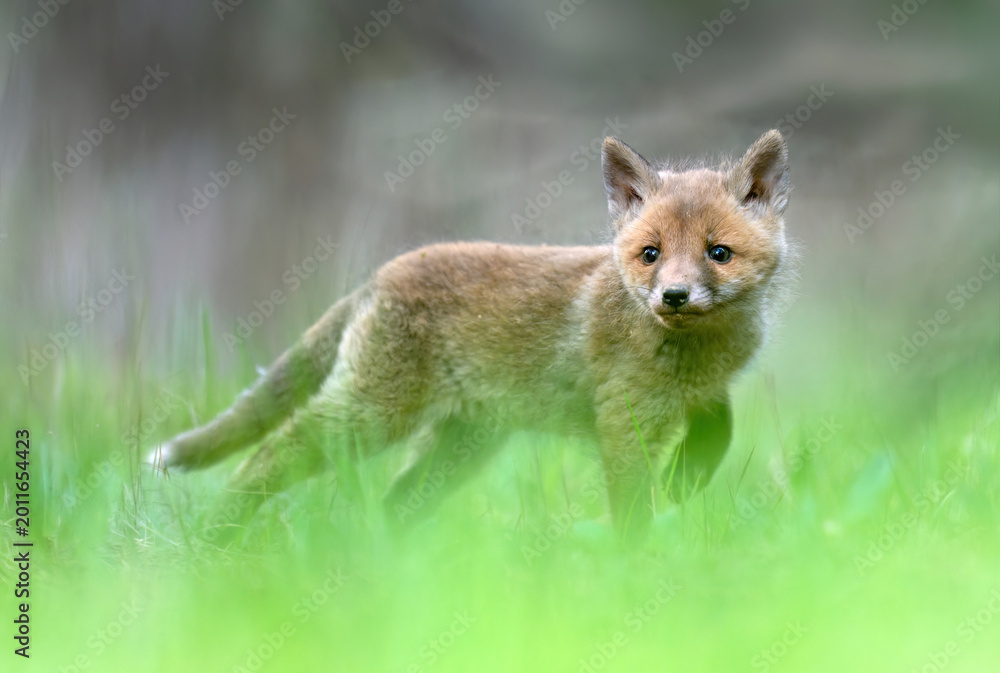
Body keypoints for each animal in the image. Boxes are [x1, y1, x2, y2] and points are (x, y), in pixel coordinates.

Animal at [150, 129, 792, 542]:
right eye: (650, 254)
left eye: (718, 253)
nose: (674, 297)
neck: (694, 351)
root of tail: (379, 275)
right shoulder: (622, 420)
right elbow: (632, 508)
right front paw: (638, 563)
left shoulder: (702, 394)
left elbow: (720, 431)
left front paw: (689, 477)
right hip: (372, 417)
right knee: (270, 452)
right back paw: (213, 538)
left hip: (458, 452)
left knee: (389, 507)